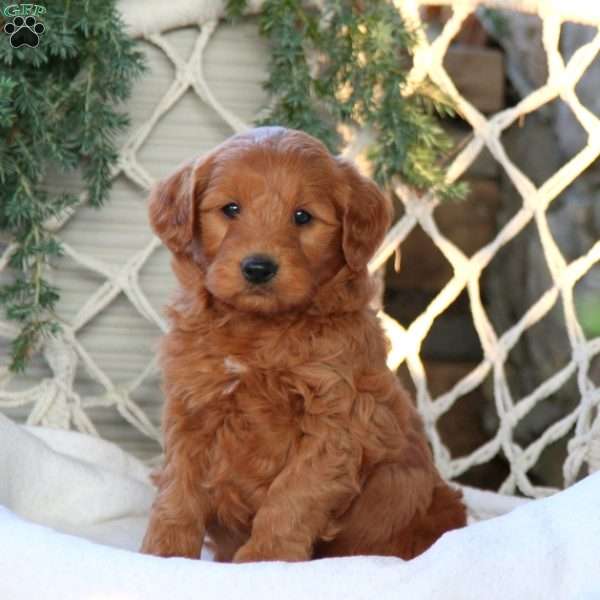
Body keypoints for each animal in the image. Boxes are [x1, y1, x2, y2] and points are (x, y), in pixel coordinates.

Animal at [139, 126, 464, 564]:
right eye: (230, 209)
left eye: (302, 217)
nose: (258, 268)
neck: (258, 333)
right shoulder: (192, 407)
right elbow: (178, 491)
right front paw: (164, 553)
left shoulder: (336, 422)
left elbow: (292, 497)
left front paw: (265, 558)